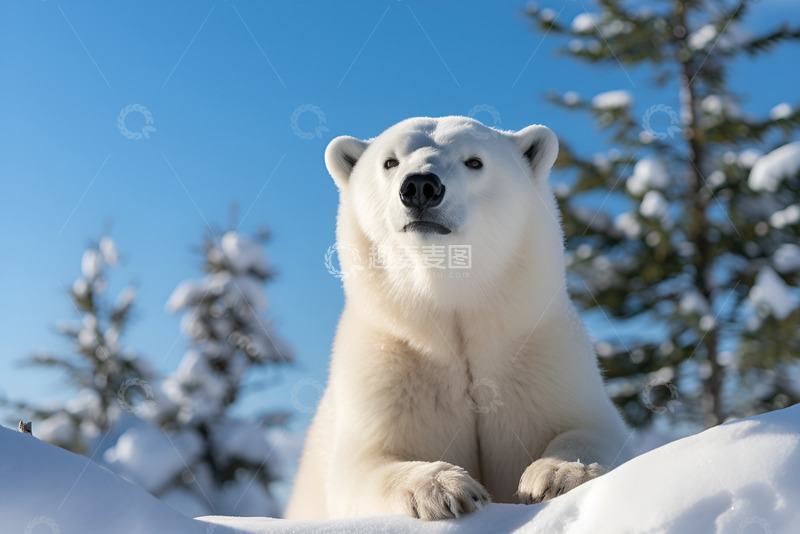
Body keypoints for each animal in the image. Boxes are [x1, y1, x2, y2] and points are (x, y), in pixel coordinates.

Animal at [285, 116, 629, 521]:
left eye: (474, 161)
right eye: (390, 162)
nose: (420, 186)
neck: (452, 313)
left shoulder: (538, 348)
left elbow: (592, 427)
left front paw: (556, 474)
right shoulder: (388, 360)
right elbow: (365, 464)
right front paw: (445, 487)